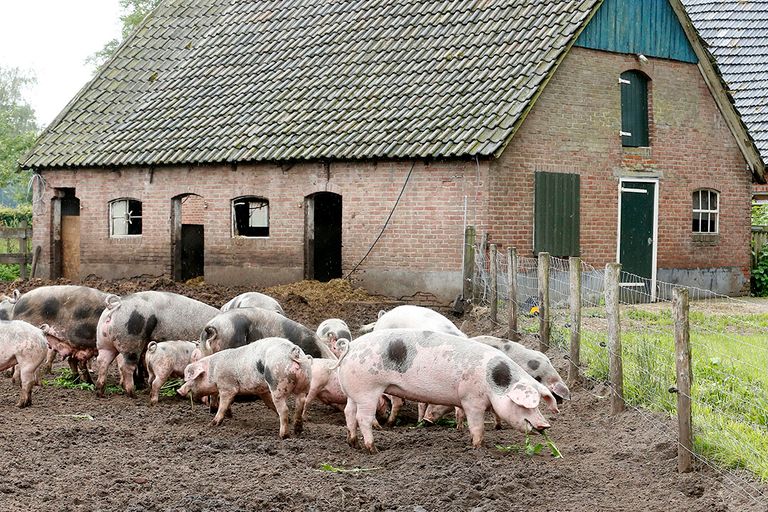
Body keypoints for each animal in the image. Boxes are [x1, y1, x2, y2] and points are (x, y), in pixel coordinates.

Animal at [177, 336, 312, 436]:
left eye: (193, 378)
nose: (179, 391)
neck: (213, 370)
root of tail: (294, 352)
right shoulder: (262, 391)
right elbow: (269, 404)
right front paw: (230, 416)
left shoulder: (227, 386)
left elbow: (223, 404)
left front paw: (212, 424)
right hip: (304, 382)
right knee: (300, 403)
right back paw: (298, 430)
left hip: (277, 384)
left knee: (284, 409)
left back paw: (283, 436)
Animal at [340, 328, 556, 452]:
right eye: (526, 406)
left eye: (539, 405)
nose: (545, 425)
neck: (494, 382)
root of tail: (350, 347)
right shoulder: (471, 399)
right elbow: (477, 426)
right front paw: (479, 447)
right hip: (368, 389)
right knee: (363, 418)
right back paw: (373, 449)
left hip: (353, 391)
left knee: (348, 412)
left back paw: (353, 443)